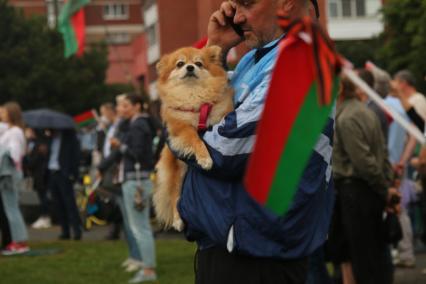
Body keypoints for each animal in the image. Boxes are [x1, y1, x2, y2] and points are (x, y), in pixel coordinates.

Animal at [153, 45, 233, 231]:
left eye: (198, 63)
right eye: (180, 64)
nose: (190, 67)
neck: (193, 96)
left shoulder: (219, 113)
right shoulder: (181, 128)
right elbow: (195, 138)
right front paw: (205, 159)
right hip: (179, 172)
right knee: (175, 196)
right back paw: (177, 221)